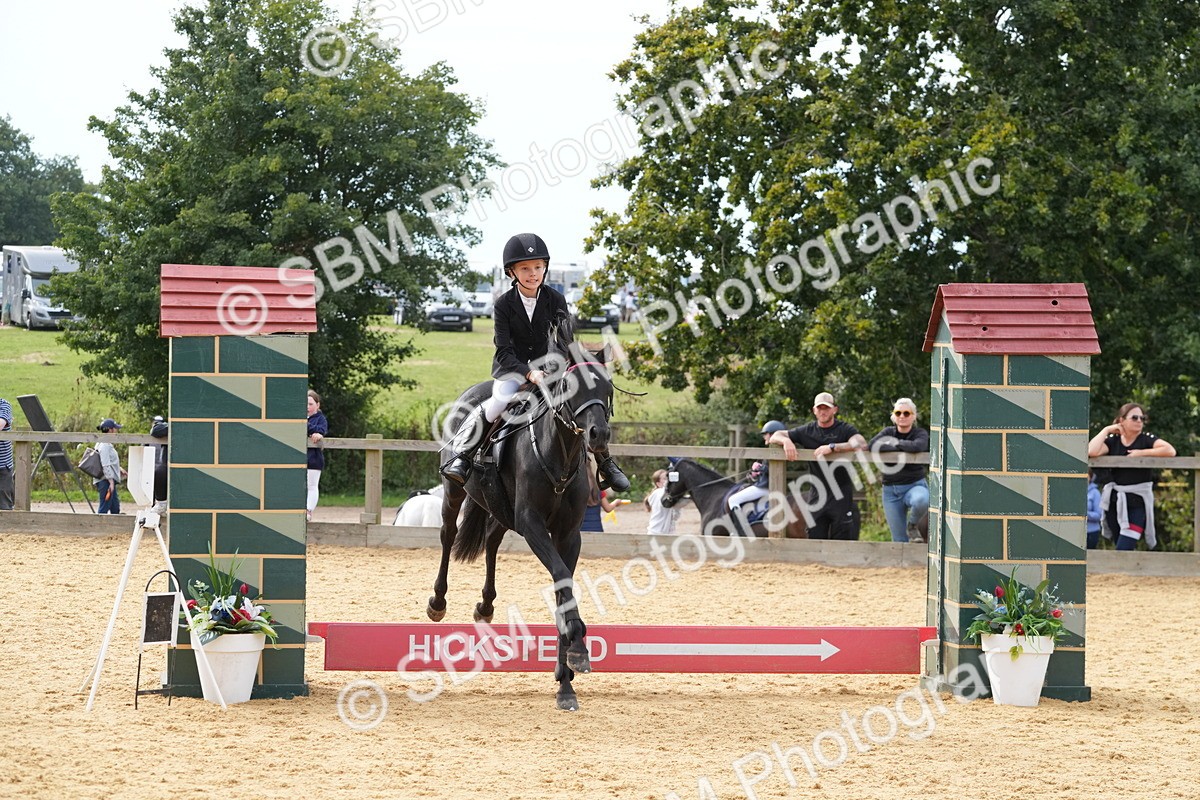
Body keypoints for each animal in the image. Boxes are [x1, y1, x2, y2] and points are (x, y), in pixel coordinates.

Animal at [427, 323, 614, 711]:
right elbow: (561, 578)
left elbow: (563, 588)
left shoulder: (568, 535)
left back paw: (486, 606)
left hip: (499, 509)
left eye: (606, 389)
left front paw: (566, 680)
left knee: (491, 543)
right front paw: (577, 647)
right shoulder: (532, 526)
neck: (560, 453)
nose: (599, 436)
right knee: (448, 535)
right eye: (575, 388)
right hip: (454, 492)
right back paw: (437, 602)